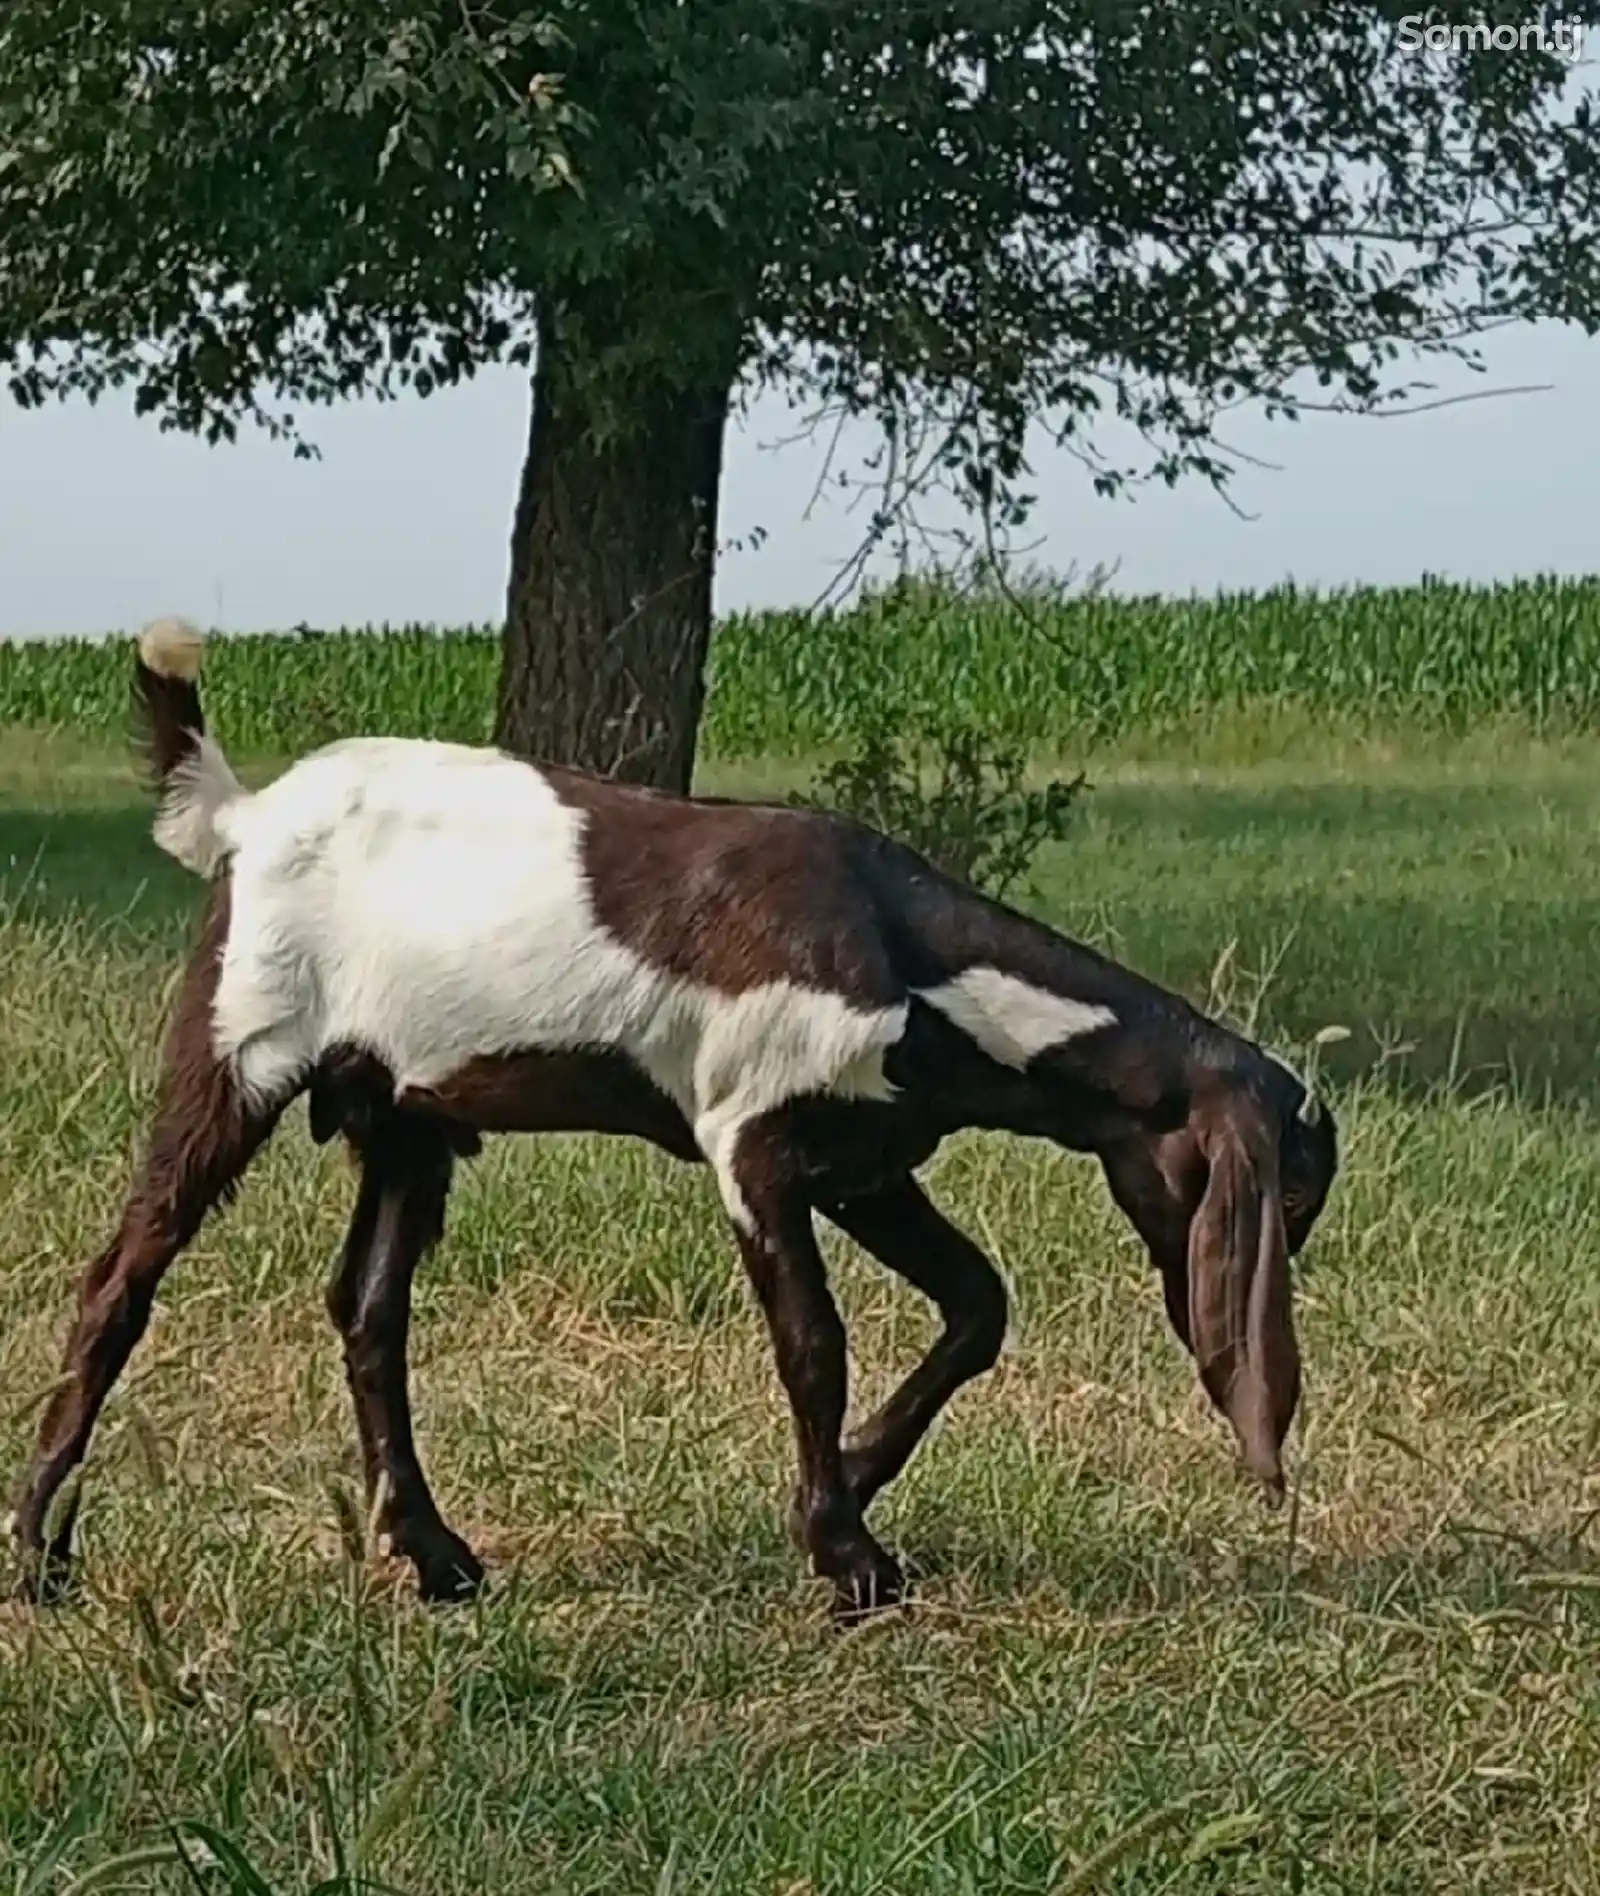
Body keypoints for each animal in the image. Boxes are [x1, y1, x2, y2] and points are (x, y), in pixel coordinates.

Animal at [9, 618, 1334, 1615]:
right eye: (1290, 1191)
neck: (909, 959)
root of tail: (241, 814)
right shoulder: (753, 1143)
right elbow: (813, 1345)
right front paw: (846, 1553)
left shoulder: (865, 1161)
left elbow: (975, 1303)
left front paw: (852, 1486)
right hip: (238, 1046)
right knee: (121, 1280)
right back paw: (39, 1553)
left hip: (403, 1112)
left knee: (369, 1314)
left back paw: (435, 1557)